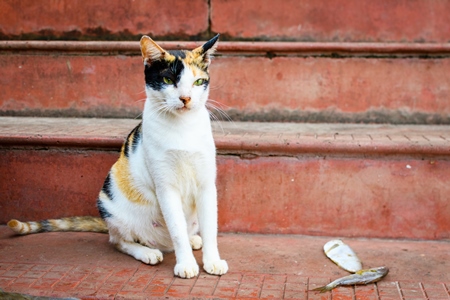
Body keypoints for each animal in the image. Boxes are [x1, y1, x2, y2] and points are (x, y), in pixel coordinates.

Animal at [7, 34, 229, 278]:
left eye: (198, 82)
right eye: (168, 80)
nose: (186, 98)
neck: (183, 128)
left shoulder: (206, 184)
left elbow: (210, 228)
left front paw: (212, 260)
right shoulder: (165, 186)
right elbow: (177, 229)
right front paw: (186, 264)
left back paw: (193, 240)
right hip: (110, 206)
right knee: (119, 241)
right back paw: (148, 252)